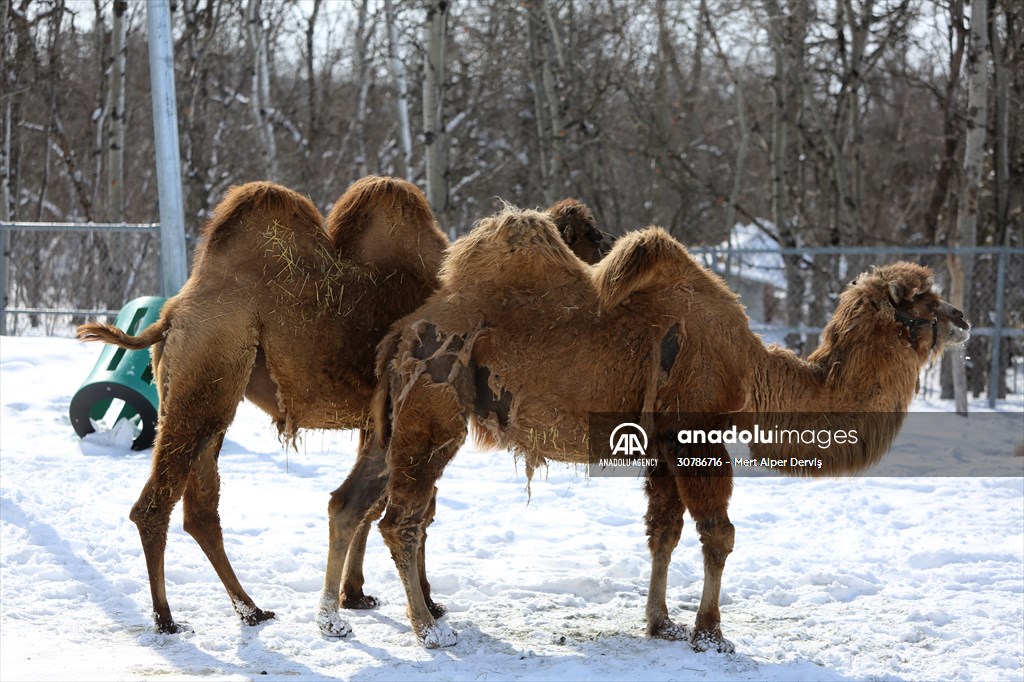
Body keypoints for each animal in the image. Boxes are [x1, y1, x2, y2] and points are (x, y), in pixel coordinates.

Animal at [77, 179, 606, 630]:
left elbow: (372, 506)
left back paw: (250, 609)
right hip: (205, 377)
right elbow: (413, 511)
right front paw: (425, 602)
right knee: (156, 504)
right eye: (591, 238)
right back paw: (167, 618)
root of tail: (170, 314)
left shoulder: (379, 422)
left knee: (201, 509)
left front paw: (356, 594)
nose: (604, 260)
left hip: (203, 394)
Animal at [337, 206, 974, 647]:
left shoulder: (665, 445)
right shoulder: (698, 432)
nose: (963, 318)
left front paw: (661, 623)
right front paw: (711, 634)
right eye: (922, 302)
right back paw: (429, 628)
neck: (751, 369)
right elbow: (719, 533)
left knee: (361, 501)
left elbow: (663, 533)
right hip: (433, 411)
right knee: (402, 520)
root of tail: (400, 335)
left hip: (396, 423)